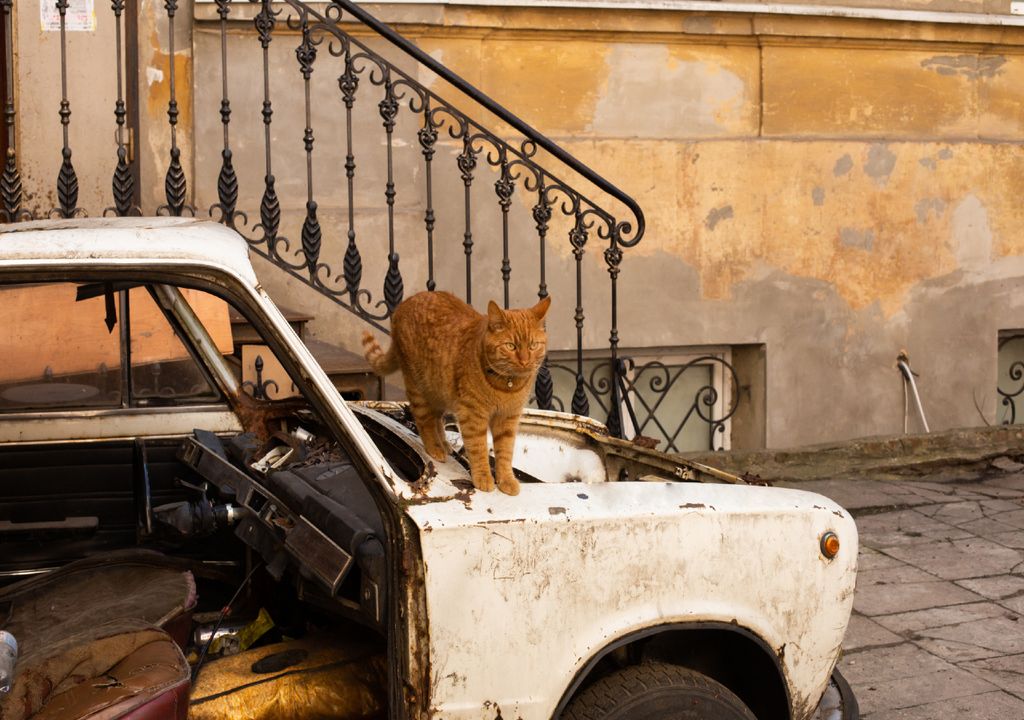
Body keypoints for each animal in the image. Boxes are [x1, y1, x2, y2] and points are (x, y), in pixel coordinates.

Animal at [362, 290, 548, 495]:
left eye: (532, 346)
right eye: (511, 346)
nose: (525, 361)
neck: (507, 385)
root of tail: (404, 304)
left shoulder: (508, 419)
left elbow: (505, 453)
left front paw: (506, 480)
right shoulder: (473, 416)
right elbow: (478, 448)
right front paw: (483, 477)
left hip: (440, 391)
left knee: (436, 419)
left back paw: (443, 443)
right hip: (419, 387)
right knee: (424, 421)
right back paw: (435, 448)